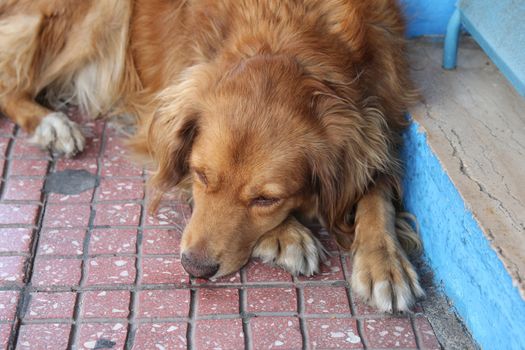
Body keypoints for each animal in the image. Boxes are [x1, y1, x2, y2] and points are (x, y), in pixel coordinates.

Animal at [0, 0, 424, 312]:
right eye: (201, 174)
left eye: (266, 199)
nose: (196, 268)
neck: (289, 33)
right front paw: (287, 236)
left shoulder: (381, 119)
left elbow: (376, 192)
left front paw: (384, 263)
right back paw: (51, 124)